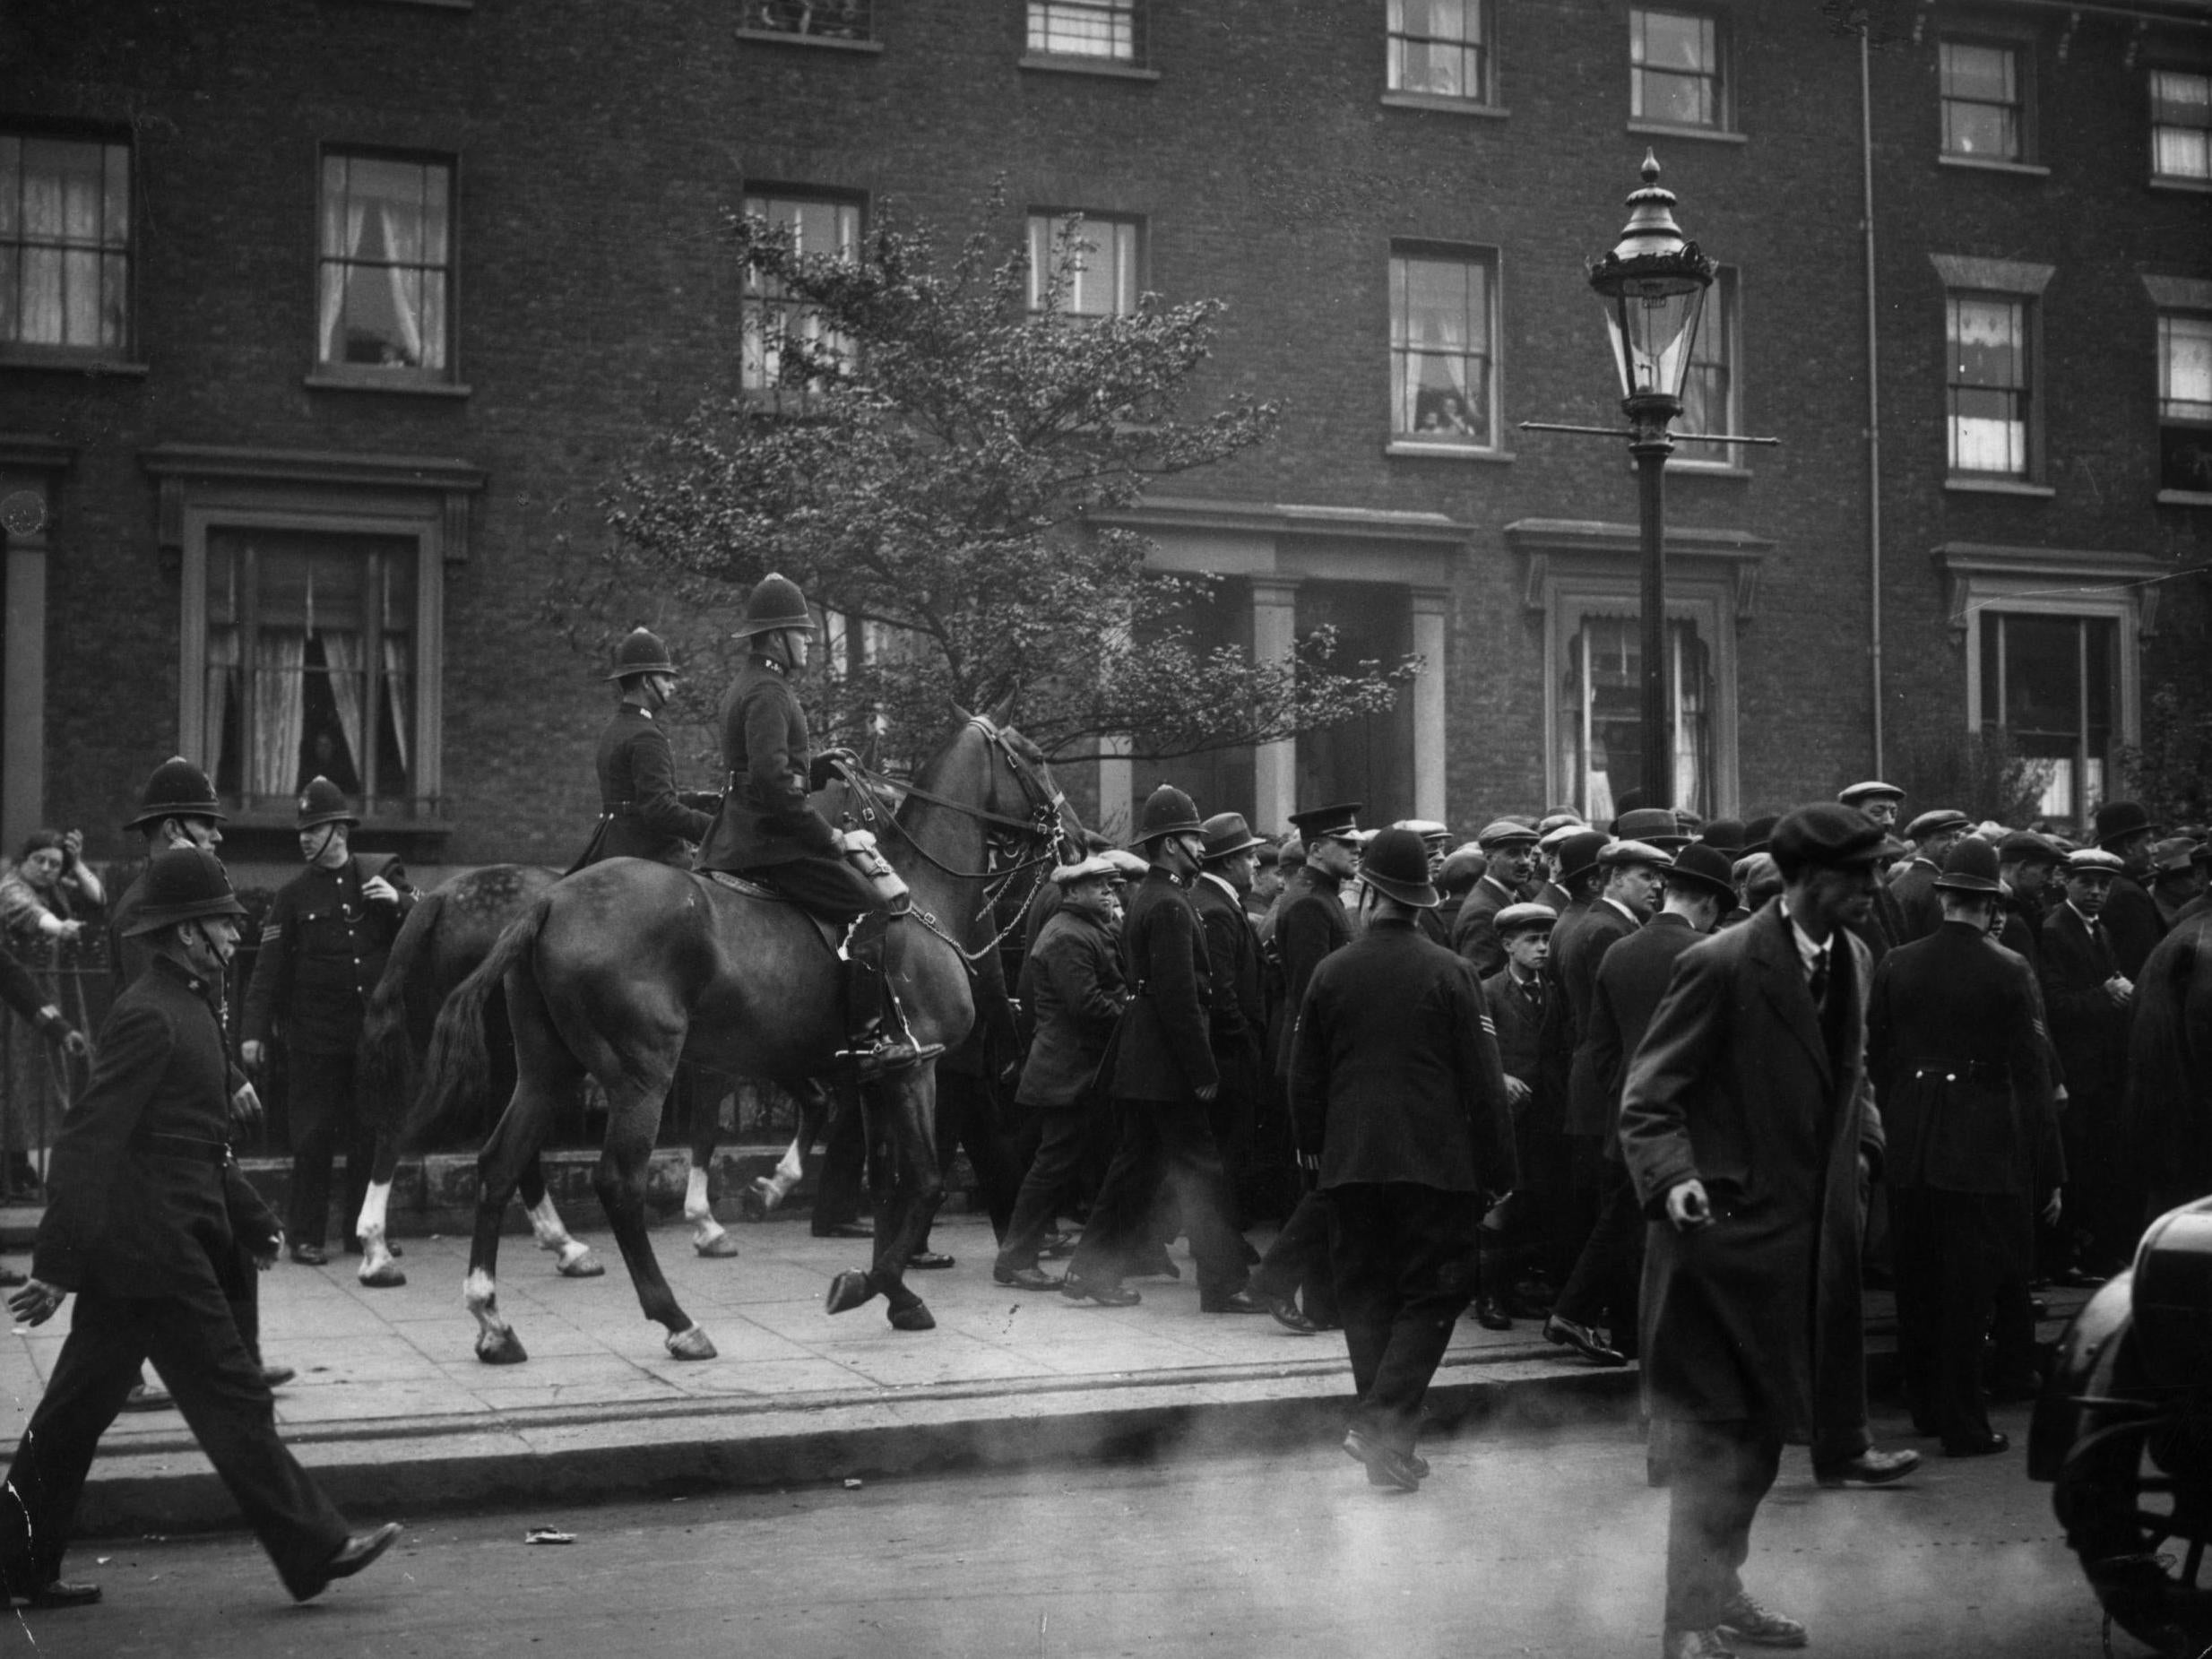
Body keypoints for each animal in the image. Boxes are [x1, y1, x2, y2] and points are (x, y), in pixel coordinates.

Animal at [415, 703, 1079, 1362]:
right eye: (1035, 757)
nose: (1077, 838)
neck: (925, 898)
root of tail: (548, 900)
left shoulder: (876, 1074)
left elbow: (886, 1183)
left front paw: (895, 1293)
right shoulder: (918, 1066)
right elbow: (924, 1183)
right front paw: (867, 1284)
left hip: (546, 1069)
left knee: (500, 1162)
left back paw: (494, 1319)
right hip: (641, 1074)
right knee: (617, 1182)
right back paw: (676, 1320)